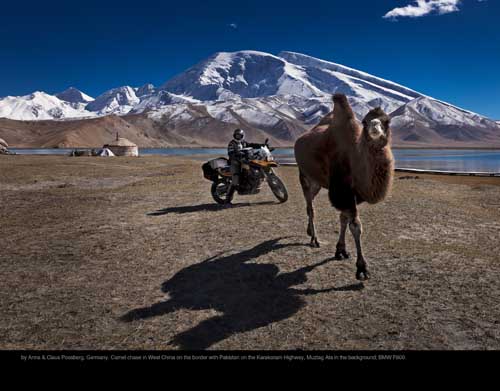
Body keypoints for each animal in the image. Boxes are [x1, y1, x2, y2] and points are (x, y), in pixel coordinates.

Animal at [292, 93, 394, 280]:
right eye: (365, 121)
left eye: (387, 120)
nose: (375, 127)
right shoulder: (342, 192)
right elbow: (355, 226)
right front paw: (362, 268)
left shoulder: (352, 194)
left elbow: (343, 219)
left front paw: (341, 250)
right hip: (304, 176)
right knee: (310, 207)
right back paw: (314, 239)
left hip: (317, 182)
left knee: (311, 204)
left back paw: (309, 232)